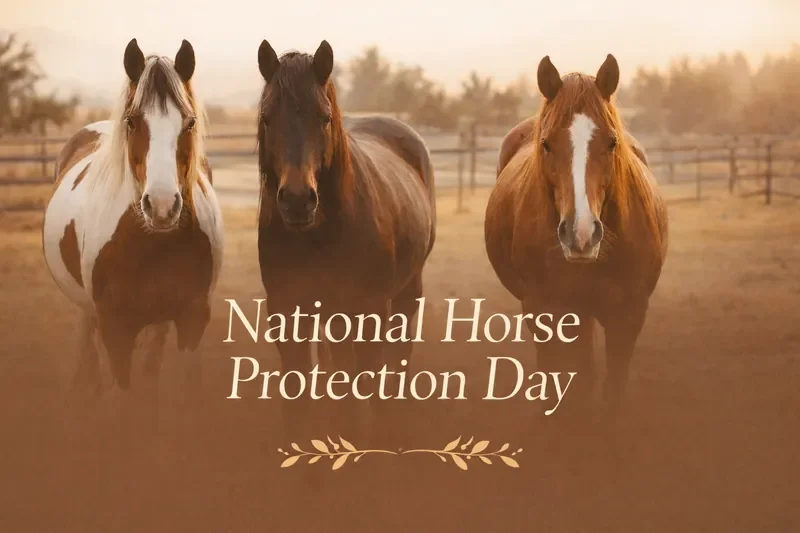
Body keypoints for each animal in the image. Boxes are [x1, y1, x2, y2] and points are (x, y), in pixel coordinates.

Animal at [255, 40, 436, 441]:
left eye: (323, 118)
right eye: (267, 119)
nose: (297, 200)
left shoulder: (370, 312)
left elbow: (361, 390)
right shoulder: (287, 313)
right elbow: (300, 399)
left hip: (406, 294)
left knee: (396, 365)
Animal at [484, 54, 668, 411]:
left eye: (612, 142)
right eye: (546, 144)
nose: (580, 234)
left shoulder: (629, 314)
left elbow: (612, 389)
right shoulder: (547, 312)